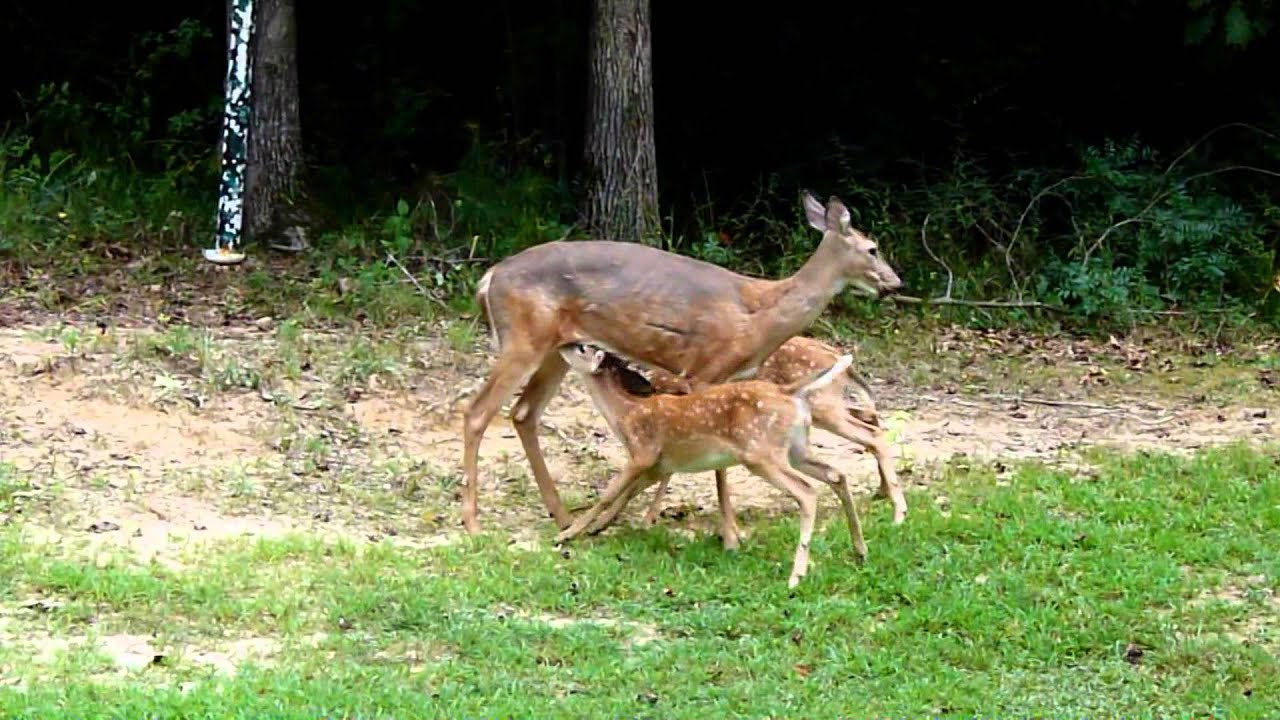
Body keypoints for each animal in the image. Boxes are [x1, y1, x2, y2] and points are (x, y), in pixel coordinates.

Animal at [554, 342, 868, 588]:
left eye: (582, 348)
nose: (561, 345)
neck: (625, 413)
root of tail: (789, 392)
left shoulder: (643, 451)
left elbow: (608, 493)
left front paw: (567, 534)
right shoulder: (660, 463)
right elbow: (629, 491)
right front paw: (598, 527)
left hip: (761, 452)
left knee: (807, 491)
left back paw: (796, 576)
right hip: (796, 449)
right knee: (837, 474)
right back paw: (860, 551)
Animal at [635, 335, 907, 548]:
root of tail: (834, 354)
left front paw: (648, 520)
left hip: (823, 407)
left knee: (871, 432)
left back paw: (898, 513)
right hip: (825, 408)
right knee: (870, 419)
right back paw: (883, 493)